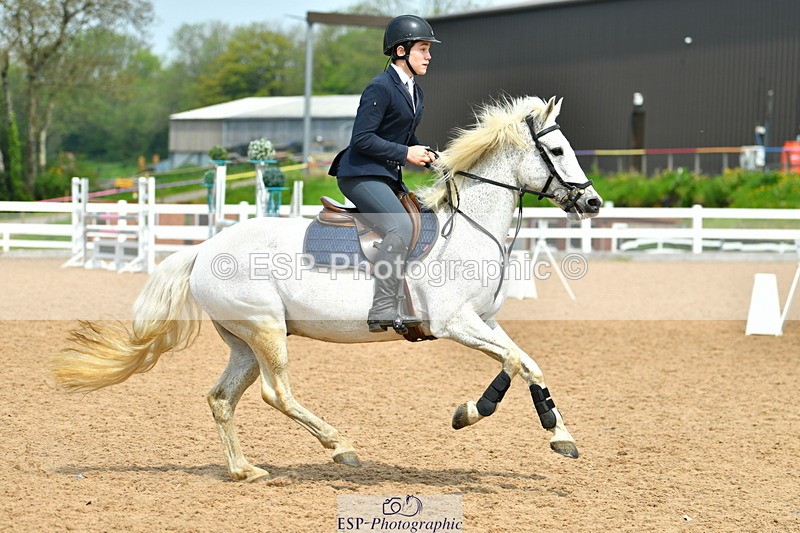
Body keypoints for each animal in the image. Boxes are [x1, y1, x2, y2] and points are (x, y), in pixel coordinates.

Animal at [51, 96, 603, 482]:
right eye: (556, 150)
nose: (593, 202)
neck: (468, 227)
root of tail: (205, 250)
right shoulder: (455, 323)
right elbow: (512, 363)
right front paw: (470, 413)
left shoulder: (484, 321)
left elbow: (528, 362)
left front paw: (561, 437)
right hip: (267, 331)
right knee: (276, 393)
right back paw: (340, 446)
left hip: (244, 341)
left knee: (221, 399)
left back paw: (244, 470)